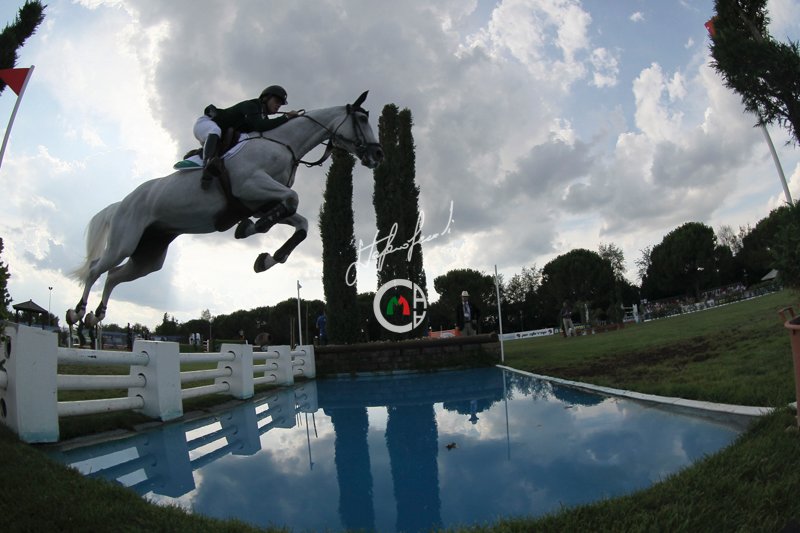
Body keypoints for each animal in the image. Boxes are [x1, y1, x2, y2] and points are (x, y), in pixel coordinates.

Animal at [67, 91, 383, 328]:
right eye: (362, 118)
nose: (378, 155)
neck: (284, 144)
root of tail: (122, 203)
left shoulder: (260, 202)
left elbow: (300, 224)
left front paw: (266, 258)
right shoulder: (251, 186)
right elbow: (292, 199)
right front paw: (251, 230)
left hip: (149, 256)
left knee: (114, 275)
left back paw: (97, 315)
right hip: (125, 241)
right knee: (97, 268)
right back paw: (79, 311)